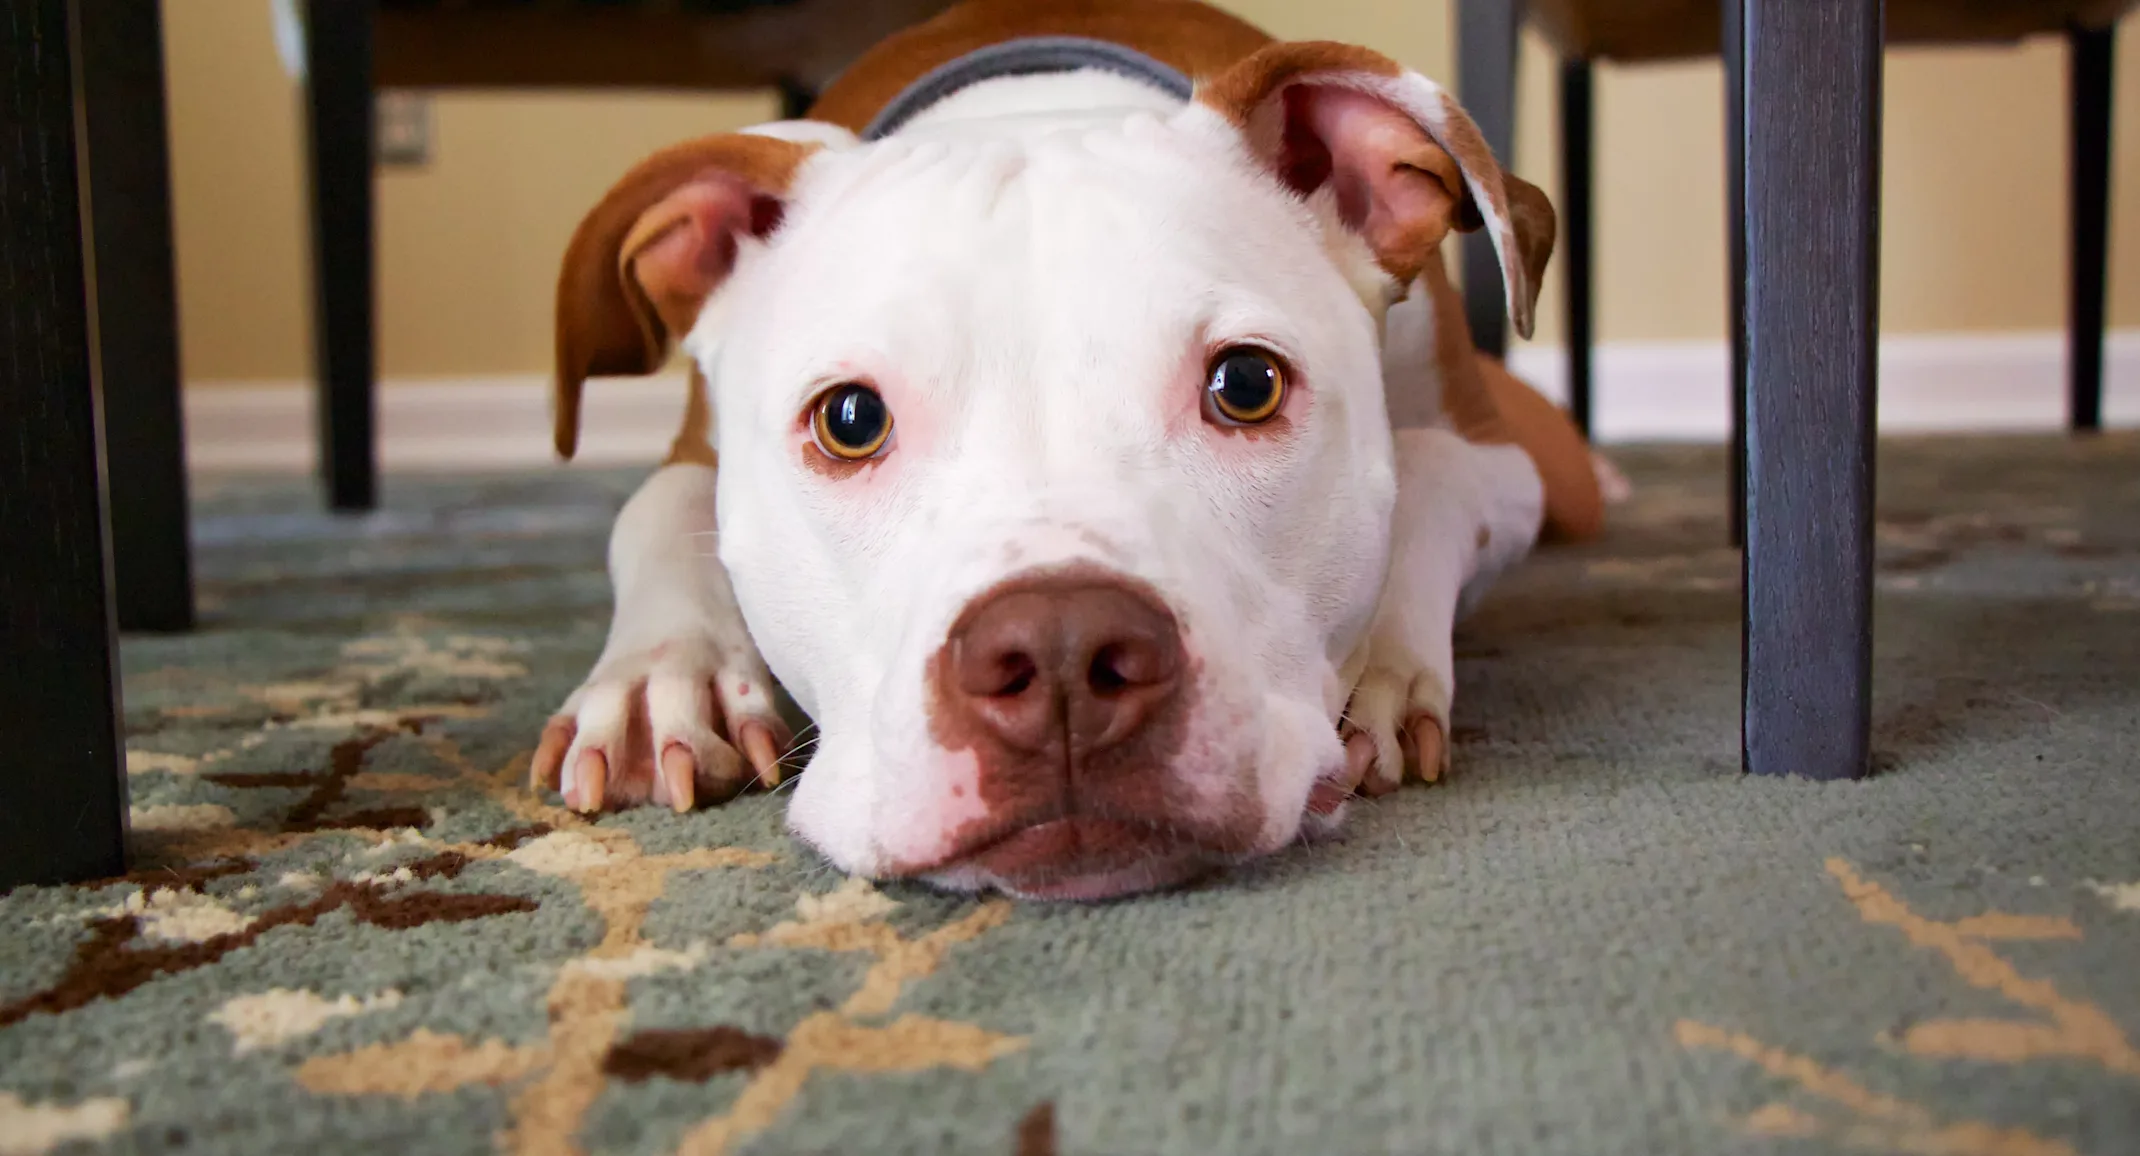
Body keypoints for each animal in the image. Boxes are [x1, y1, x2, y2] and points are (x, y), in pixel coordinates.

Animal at [530, 0, 1609, 903]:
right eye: (850, 419)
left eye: (1246, 385)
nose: (1059, 653)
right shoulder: (694, 451)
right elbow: (654, 510)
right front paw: (660, 682)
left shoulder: (1501, 461)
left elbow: (1428, 473)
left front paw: (1382, 667)